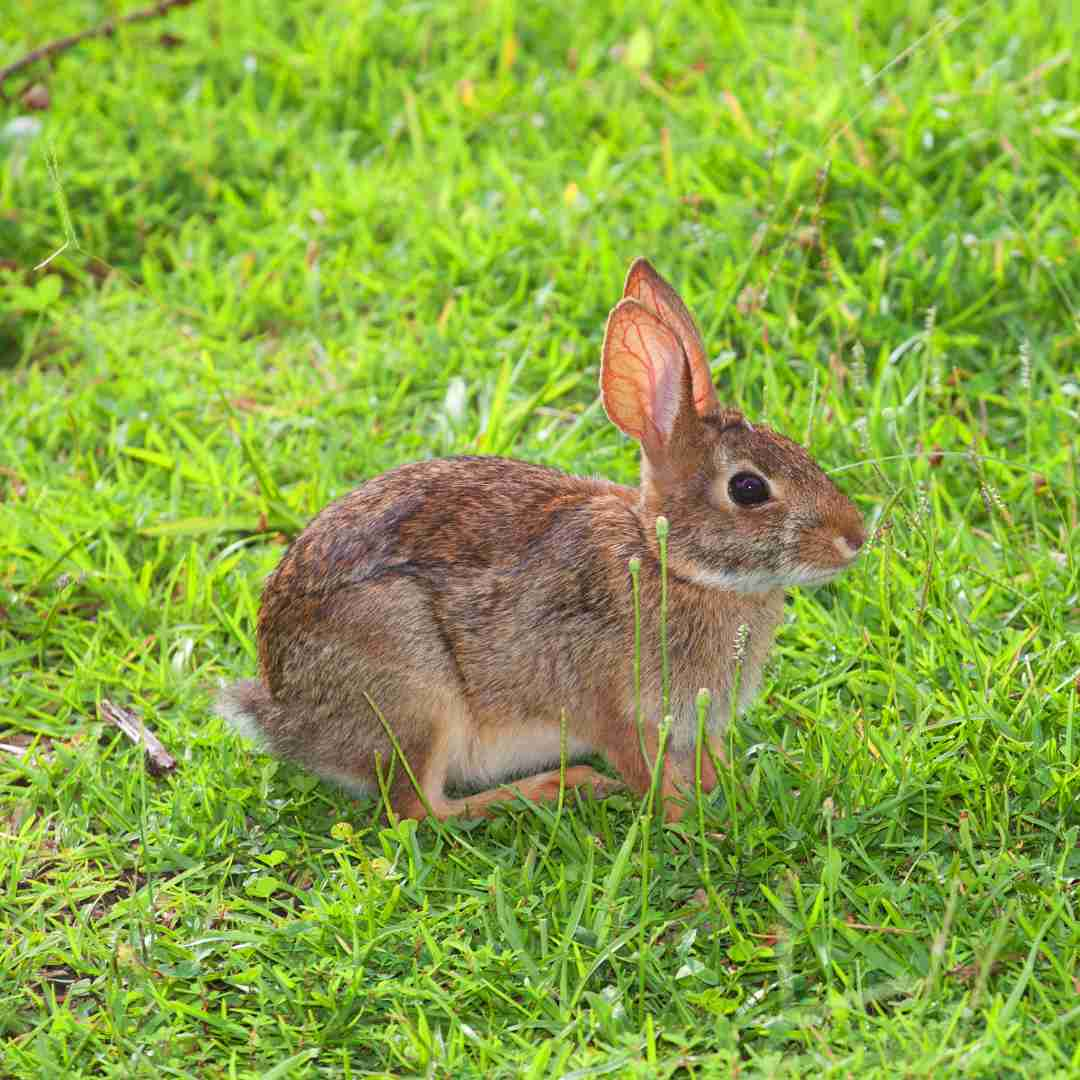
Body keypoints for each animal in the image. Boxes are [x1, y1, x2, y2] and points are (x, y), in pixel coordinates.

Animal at [214, 257, 864, 820]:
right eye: (749, 488)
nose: (854, 537)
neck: (670, 564)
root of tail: (284, 714)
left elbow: (706, 758)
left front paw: (739, 788)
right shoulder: (614, 709)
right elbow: (644, 772)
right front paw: (692, 820)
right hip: (416, 694)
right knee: (419, 810)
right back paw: (560, 786)